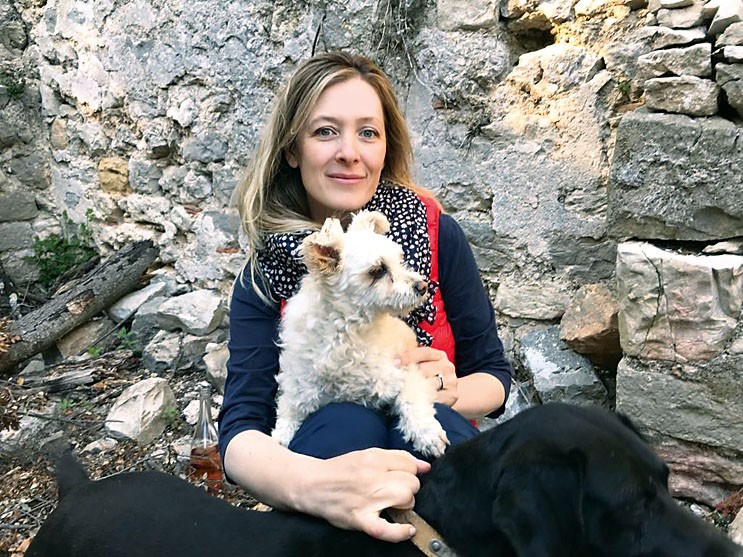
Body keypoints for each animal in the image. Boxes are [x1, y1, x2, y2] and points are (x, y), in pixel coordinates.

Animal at [272, 210, 448, 457]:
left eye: (399, 260)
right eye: (378, 270)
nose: (422, 286)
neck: (346, 332)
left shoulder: (404, 372)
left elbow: (412, 400)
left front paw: (427, 434)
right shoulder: (300, 387)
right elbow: (288, 414)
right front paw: (280, 438)